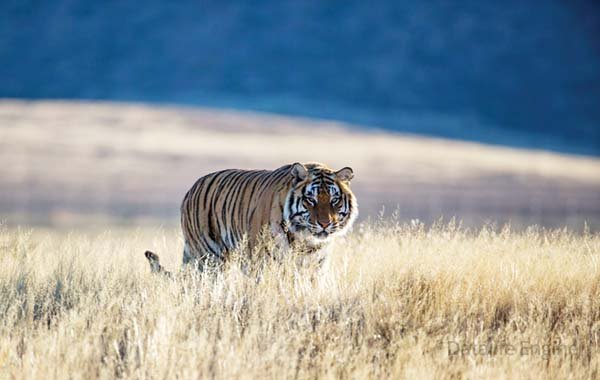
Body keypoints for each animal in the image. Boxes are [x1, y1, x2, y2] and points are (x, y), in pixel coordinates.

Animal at [145, 162, 358, 274]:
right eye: (310, 200)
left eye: (334, 200)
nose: (325, 224)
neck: (305, 241)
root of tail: (192, 188)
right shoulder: (263, 264)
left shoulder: (315, 268)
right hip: (209, 258)